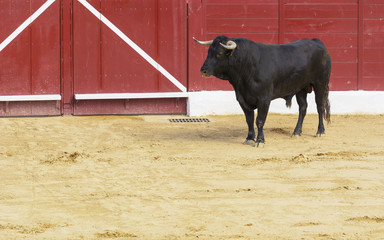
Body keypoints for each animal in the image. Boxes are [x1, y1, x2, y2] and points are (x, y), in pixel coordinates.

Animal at [194, 35, 332, 146]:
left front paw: (260, 140)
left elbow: (260, 120)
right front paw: (249, 138)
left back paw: (320, 131)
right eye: (209, 52)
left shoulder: (264, 99)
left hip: (320, 84)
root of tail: (317, 42)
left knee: (320, 107)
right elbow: (249, 120)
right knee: (303, 108)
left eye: (219, 54)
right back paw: (297, 132)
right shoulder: (242, 98)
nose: (203, 70)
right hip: (301, 88)